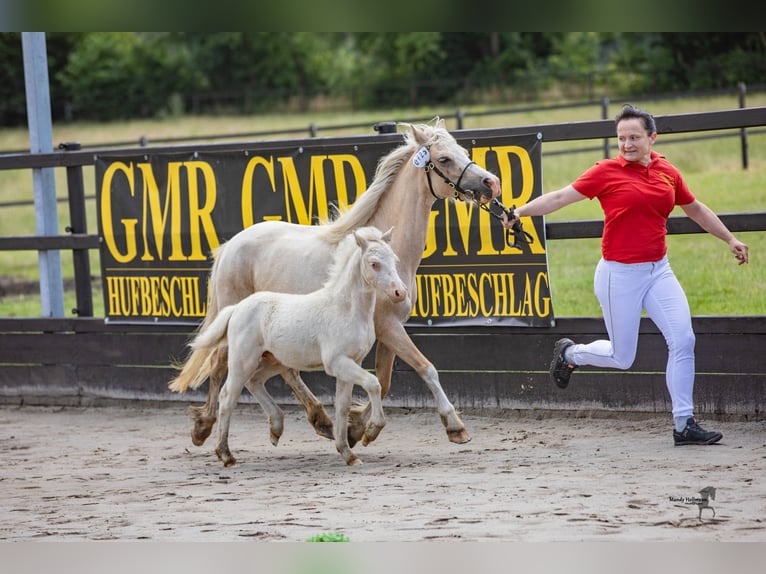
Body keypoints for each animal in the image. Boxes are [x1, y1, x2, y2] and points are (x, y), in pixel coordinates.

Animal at [187, 228, 408, 468]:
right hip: (243, 360)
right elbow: (374, 383)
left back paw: (275, 428)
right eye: (374, 263)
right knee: (228, 396)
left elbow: (343, 405)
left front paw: (348, 454)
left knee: (254, 381)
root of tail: (237, 308)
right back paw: (226, 454)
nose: (400, 292)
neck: (345, 308)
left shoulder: (352, 362)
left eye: (395, 260)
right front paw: (372, 430)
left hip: (273, 361)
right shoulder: (337, 362)